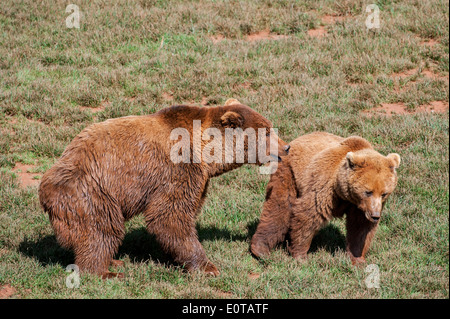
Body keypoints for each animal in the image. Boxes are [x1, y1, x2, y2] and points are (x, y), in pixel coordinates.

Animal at [40, 99, 290, 278]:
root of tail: (44, 192)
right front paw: (208, 267)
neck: (206, 153)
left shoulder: (198, 179)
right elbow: (170, 216)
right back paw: (105, 271)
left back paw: (114, 261)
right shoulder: (177, 168)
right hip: (91, 191)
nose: (286, 147)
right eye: (267, 131)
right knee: (101, 230)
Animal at [250, 132, 400, 264]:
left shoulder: (360, 207)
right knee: (279, 208)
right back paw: (260, 249)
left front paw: (358, 258)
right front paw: (300, 255)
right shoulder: (325, 186)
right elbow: (309, 215)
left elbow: (360, 228)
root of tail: (296, 140)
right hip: (289, 173)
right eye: (368, 192)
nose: (375, 215)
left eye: (384, 193)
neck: (344, 193)